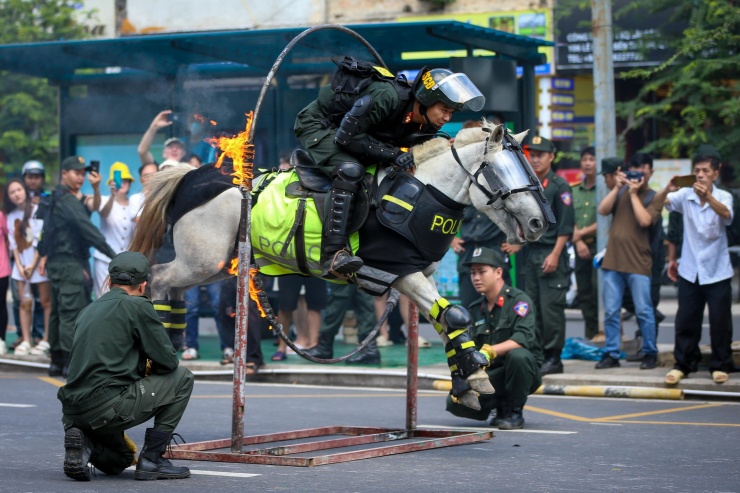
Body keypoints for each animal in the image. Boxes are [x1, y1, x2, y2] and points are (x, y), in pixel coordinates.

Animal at [132, 121, 548, 410]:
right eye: (500, 170)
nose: (539, 223)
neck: (422, 192)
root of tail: (191, 176)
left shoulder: (420, 274)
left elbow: (449, 318)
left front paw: (469, 380)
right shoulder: (402, 272)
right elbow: (456, 314)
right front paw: (473, 375)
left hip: (218, 265)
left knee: (172, 288)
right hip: (202, 260)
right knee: (159, 277)